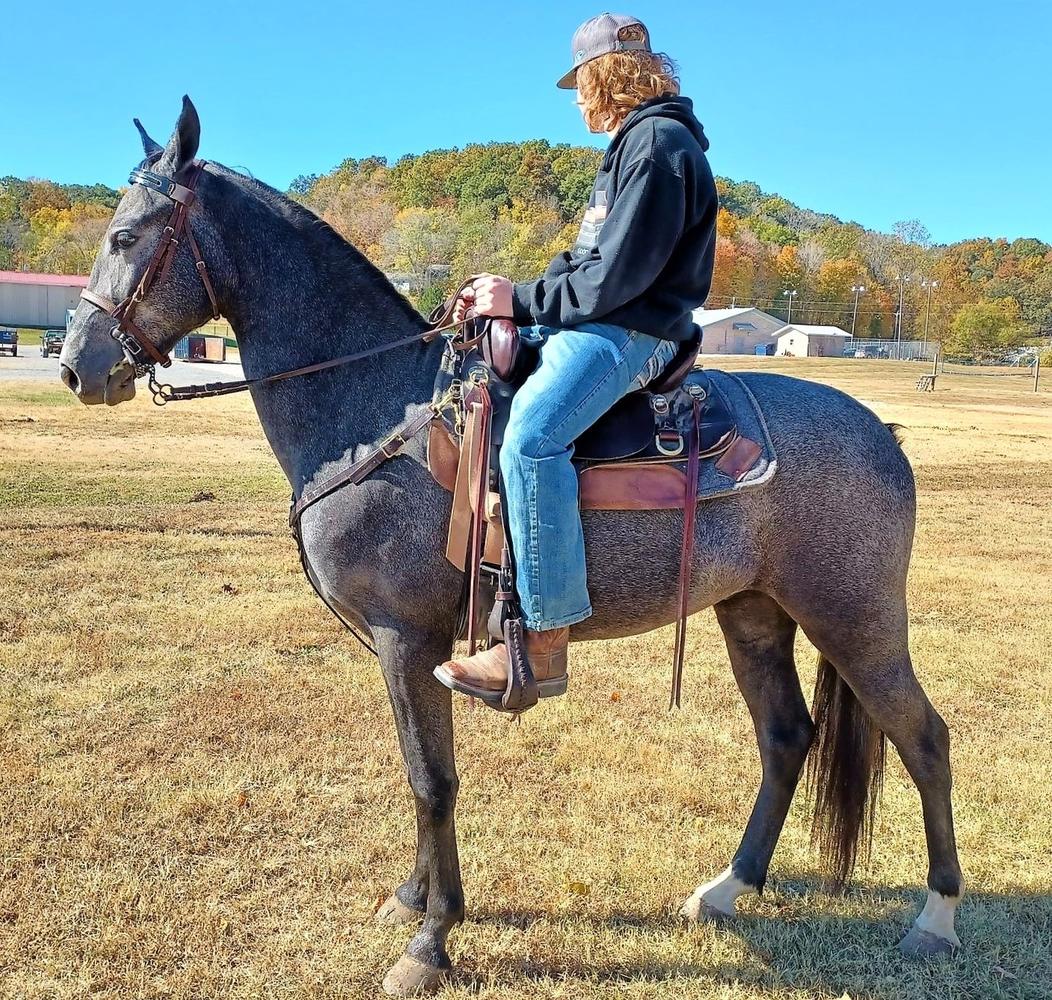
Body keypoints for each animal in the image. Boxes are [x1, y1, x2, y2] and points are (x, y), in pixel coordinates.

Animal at [59, 97, 963, 995]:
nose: (76, 368)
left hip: (855, 619)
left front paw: (431, 941)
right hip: (754, 615)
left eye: (125, 237)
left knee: (924, 738)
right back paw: (726, 889)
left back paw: (936, 918)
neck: (373, 408)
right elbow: (418, 769)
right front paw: (411, 898)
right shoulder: (404, 648)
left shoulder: (407, 636)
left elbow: (433, 780)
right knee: (785, 739)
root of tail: (881, 433)